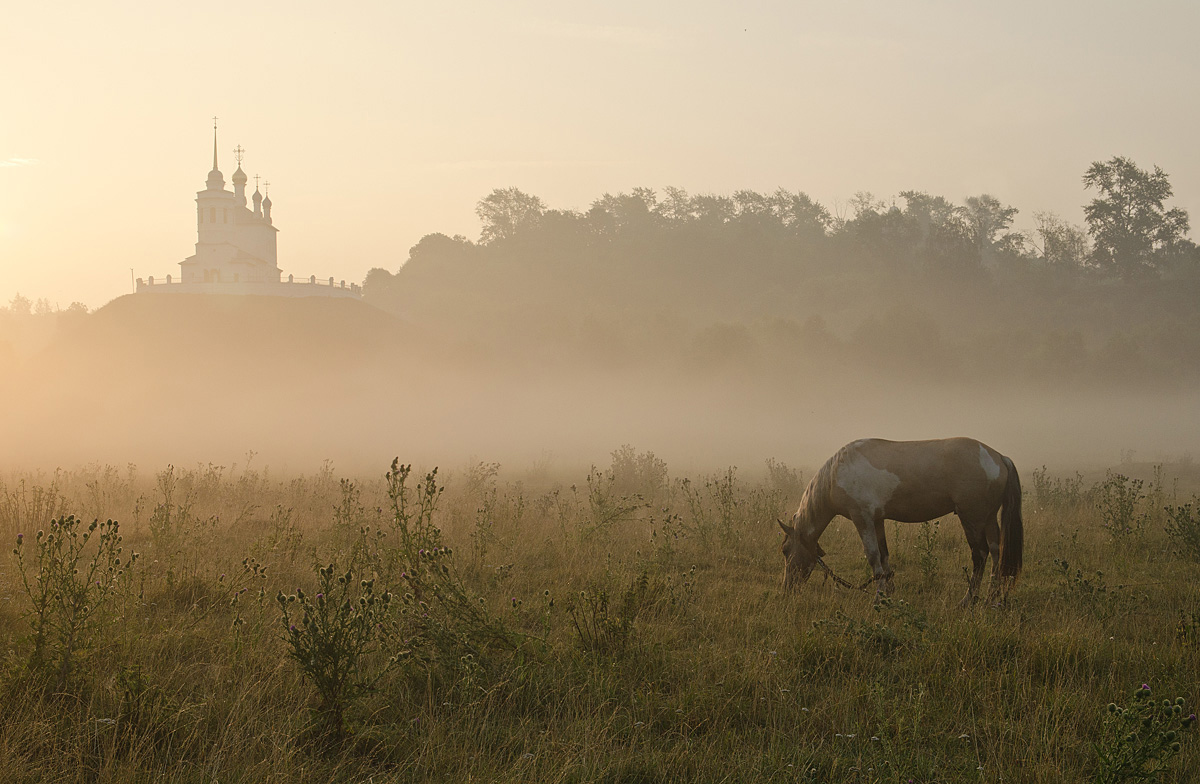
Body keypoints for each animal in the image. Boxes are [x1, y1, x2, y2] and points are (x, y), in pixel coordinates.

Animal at [782, 437, 1027, 602]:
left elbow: (873, 556)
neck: (836, 474)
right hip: (988, 518)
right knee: (995, 552)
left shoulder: (862, 518)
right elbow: (884, 554)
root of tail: (998, 457)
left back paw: (968, 600)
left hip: (972, 519)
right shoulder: (877, 520)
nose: (786, 589)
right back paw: (991, 597)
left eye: (785, 551)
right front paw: (888, 591)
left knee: (980, 556)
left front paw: (878, 597)